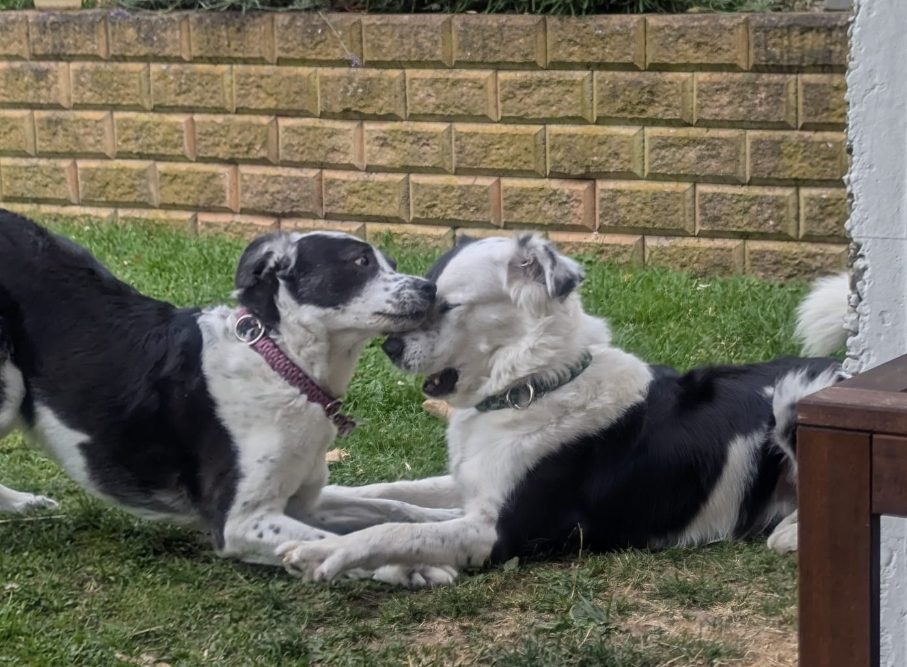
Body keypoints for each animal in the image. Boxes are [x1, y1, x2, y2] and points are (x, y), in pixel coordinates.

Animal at [0, 210, 460, 586]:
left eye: (392, 264)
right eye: (360, 262)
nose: (431, 288)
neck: (283, 364)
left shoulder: (303, 502)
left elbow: (390, 506)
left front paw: (442, 522)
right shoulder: (240, 523)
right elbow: (325, 541)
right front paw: (409, 565)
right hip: (8, 389)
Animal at [279, 234, 848, 585]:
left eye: (448, 304)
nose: (391, 349)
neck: (533, 386)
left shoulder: (502, 534)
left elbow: (398, 531)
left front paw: (323, 551)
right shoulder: (473, 485)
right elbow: (394, 495)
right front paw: (329, 504)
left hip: (793, 395)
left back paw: (789, 531)